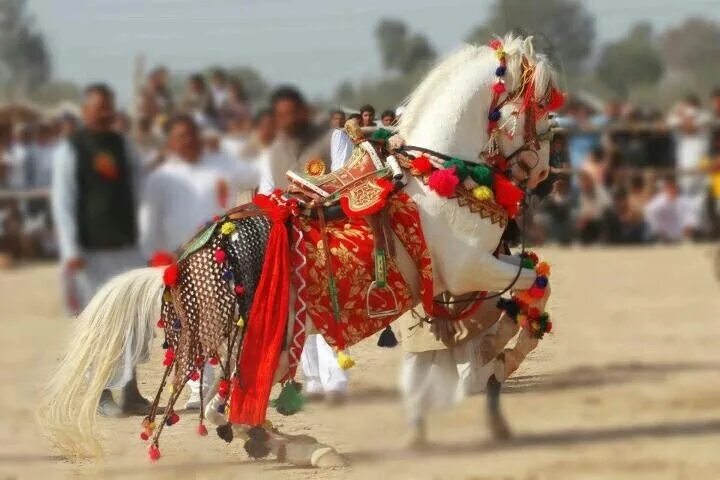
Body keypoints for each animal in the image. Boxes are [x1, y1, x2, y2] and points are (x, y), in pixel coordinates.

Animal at [38, 34, 556, 468]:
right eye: (544, 112)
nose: (545, 178)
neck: (433, 177)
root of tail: (179, 265)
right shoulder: (469, 269)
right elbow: (534, 287)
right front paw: (497, 359)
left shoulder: (466, 277)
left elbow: (525, 288)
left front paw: (489, 359)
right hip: (272, 337)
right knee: (231, 404)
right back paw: (312, 449)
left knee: (223, 404)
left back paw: (282, 443)